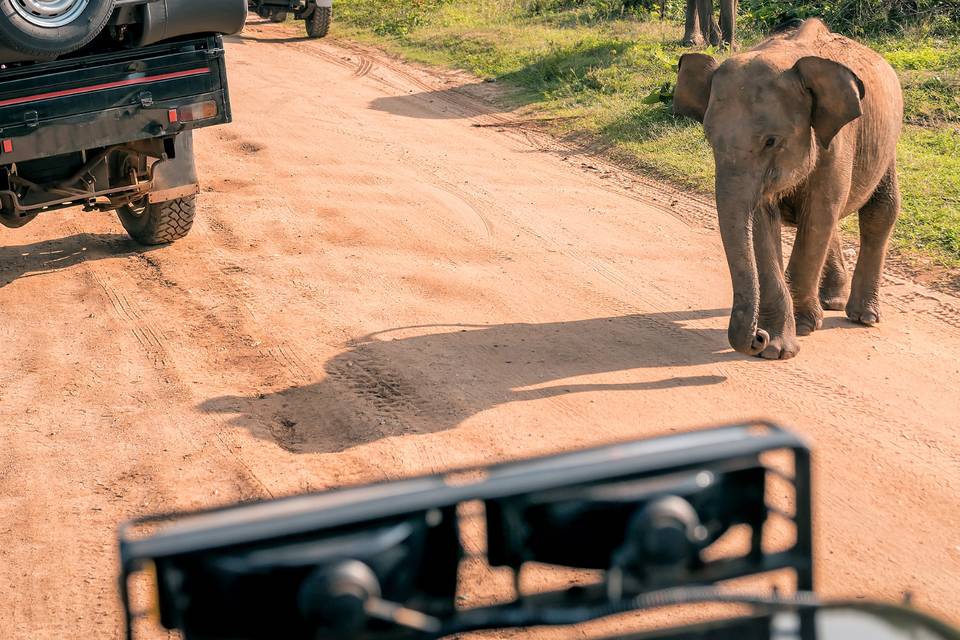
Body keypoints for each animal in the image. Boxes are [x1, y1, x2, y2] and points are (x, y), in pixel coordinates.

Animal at [672, 18, 904, 360]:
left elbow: (819, 214)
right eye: (709, 139)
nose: (757, 337)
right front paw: (777, 347)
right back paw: (831, 301)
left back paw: (863, 316)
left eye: (771, 141)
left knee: (879, 211)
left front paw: (804, 325)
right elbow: (762, 223)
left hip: (887, 144)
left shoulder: (838, 142)